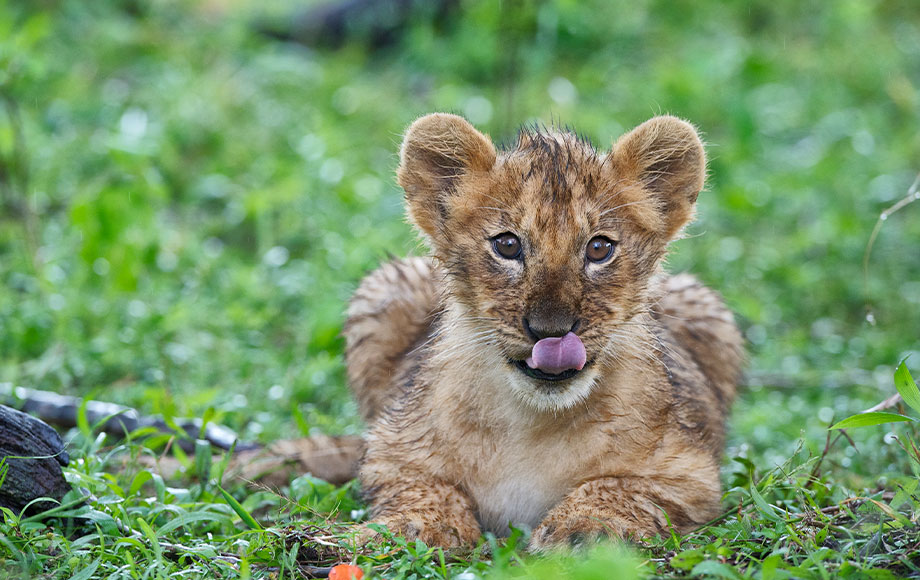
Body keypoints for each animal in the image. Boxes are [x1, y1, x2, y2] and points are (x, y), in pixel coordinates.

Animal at [342, 113, 743, 550]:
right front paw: (405, 529)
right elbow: (426, 488)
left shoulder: (691, 473)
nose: (551, 331)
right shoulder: (391, 453)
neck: (533, 422)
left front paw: (582, 527)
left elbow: (617, 486)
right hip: (384, 290)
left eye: (600, 248)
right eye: (507, 245)